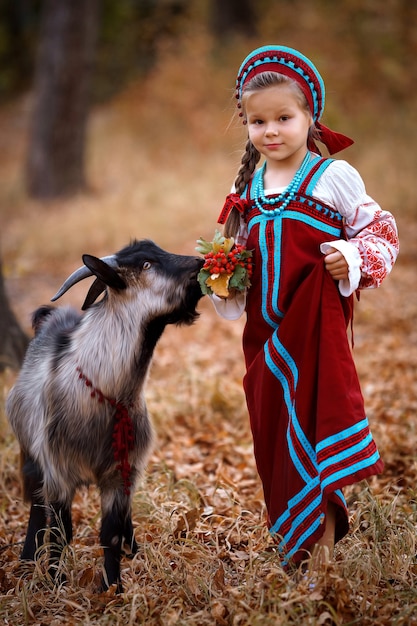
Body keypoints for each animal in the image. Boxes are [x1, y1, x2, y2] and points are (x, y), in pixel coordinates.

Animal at [4, 239, 203, 588]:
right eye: (147, 264)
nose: (200, 262)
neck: (108, 393)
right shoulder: (58, 472)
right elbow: (59, 531)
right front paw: (56, 583)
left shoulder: (119, 474)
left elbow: (110, 532)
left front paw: (114, 587)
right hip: (29, 452)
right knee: (36, 504)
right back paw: (28, 559)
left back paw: (132, 550)